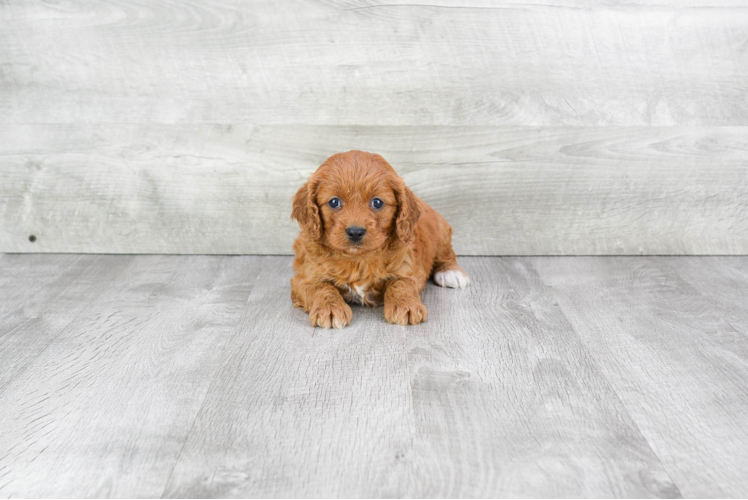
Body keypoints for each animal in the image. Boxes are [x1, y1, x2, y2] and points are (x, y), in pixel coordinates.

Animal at [290, 150, 468, 330]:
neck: (358, 259)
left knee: (447, 254)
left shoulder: (407, 268)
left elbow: (401, 284)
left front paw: (406, 305)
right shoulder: (304, 277)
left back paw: (451, 273)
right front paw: (330, 308)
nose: (355, 232)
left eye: (377, 202)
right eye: (334, 202)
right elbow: (320, 287)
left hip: (441, 231)